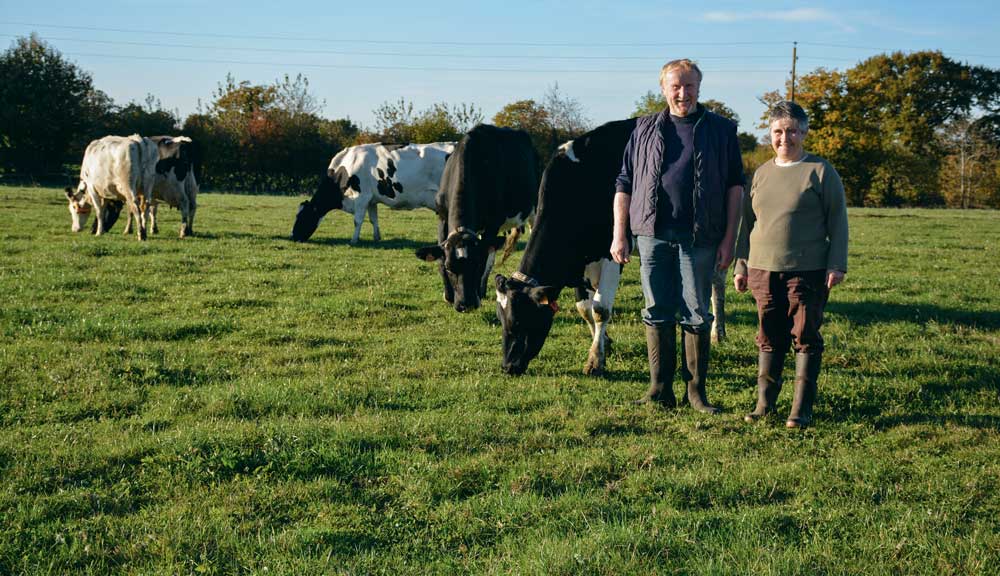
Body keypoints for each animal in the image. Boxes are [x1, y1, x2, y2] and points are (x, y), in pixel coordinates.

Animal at [292, 144, 456, 245]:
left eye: (302, 216)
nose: (293, 236)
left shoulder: (361, 197)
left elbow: (357, 221)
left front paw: (353, 241)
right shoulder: (371, 200)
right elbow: (373, 219)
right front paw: (377, 238)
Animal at [414, 124, 540, 312]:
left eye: (476, 265)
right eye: (450, 268)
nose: (466, 304)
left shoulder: (493, 223)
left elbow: (487, 259)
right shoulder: (441, 216)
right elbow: (440, 259)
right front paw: (448, 296)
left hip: (534, 207)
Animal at [494, 119, 640, 376]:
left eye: (519, 321)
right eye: (501, 320)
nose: (508, 367)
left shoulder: (612, 254)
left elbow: (600, 309)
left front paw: (595, 361)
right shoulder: (580, 262)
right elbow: (584, 308)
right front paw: (604, 344)